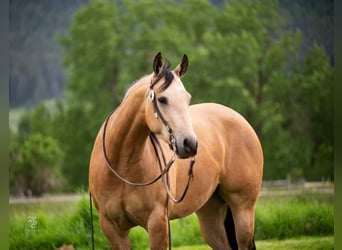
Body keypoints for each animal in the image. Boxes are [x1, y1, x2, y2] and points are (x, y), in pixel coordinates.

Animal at [89, 51, 264, 249]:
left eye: (187, 99)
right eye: (162, 99)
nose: (190, 144)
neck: (122, 165)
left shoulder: (158, 223)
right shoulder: (112, 229)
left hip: (243, 210)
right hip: (210, 214)